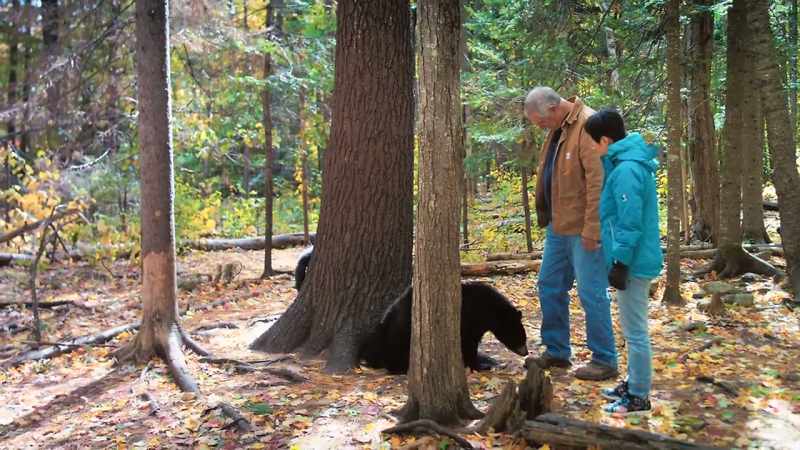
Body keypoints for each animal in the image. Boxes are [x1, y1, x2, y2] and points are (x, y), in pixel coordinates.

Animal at [360, 280, 528, 374]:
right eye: (521, 337)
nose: (526, 352)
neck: (487, 310)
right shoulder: (468, 319)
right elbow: (468, 344)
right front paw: (478, 366)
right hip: (400, 333)